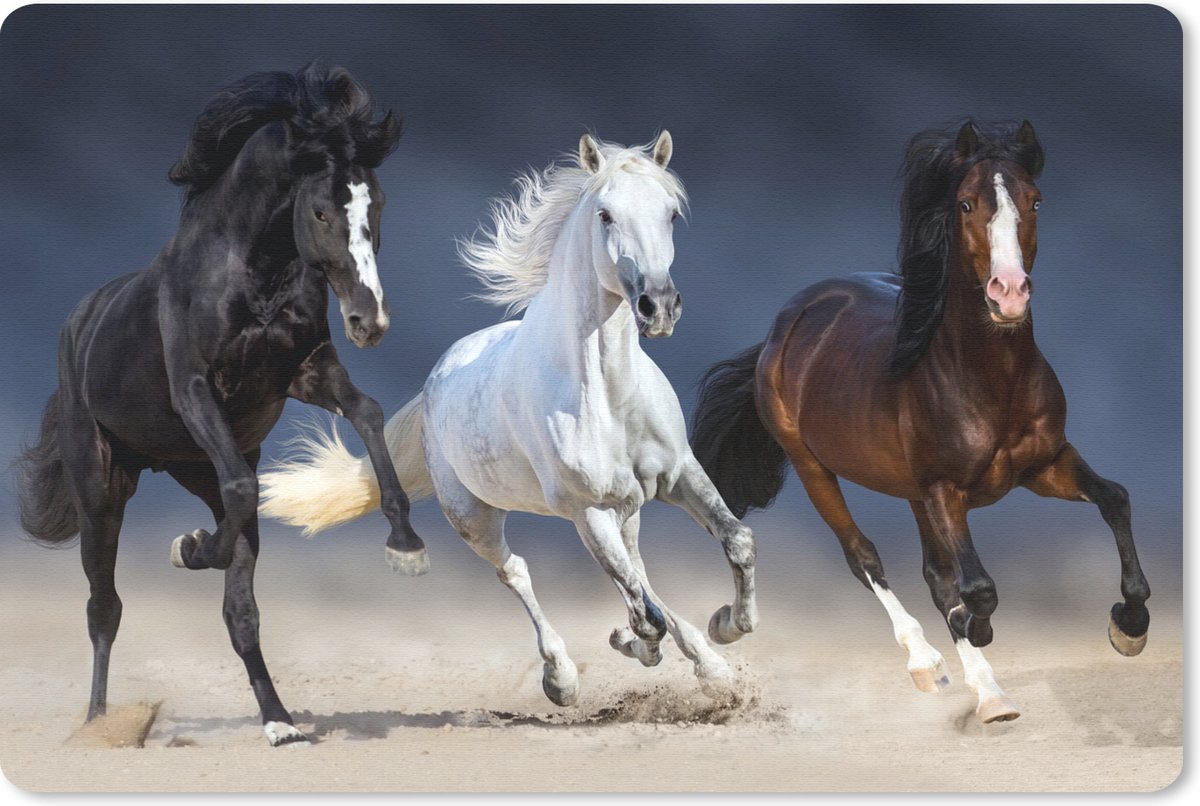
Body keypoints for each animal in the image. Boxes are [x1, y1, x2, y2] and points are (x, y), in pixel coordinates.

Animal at [15, 63, 429, 746]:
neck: (252, 273)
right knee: (105, 607)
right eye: (321, 210)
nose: (371, 322)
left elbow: (367, 412)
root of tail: (80, 324)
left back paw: (279, 722)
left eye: (378, 206)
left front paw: (406, 545)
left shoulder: (306, 371)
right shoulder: (195, 389)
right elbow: (240, 486)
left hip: (190, 468)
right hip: (101, 489)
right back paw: (99, 725)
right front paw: (188, 549)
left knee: (240, 608)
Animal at [259, 131, 759, 706]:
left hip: (627, 509)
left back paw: (708, 664)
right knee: (519, 572)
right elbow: (643, 613)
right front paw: (640, 645)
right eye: (605, 215)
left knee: (639, 571)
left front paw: (726, 628)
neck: (607, 395)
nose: (659, 306)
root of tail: (435, 382)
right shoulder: (587, 510)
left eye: (671, 213)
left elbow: (736, 542)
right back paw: (562, 678)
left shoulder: (678, 475)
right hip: (476, 519)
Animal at [690, 120, 1150, 724]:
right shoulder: (944, 490)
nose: (1009, 293)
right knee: (866, 558)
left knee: (935, 577)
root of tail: (786, 324)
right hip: (814, 468)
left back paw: (985, 688)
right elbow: (977, 589)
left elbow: (1115, 499)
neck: (988, 378)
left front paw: (1131, 626)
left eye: (1035, 200)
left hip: (909, 490)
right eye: (965, 203)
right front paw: (979, 634)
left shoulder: (1047, 466)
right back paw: (935, 668)